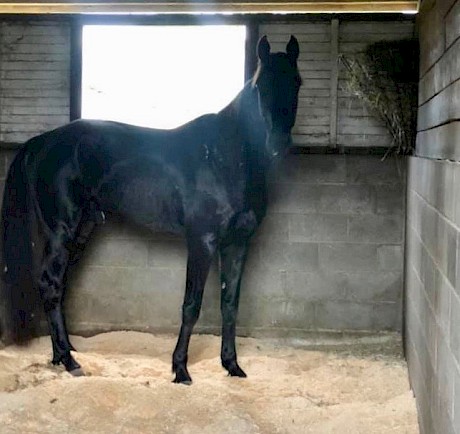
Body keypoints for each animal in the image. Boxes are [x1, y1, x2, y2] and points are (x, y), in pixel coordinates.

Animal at [0, 35, 302, 384]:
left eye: (297, 82)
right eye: (261, 86)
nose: (279, 143)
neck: (225, 157)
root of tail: (42, 141)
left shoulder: (237, 243)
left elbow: (230, 304)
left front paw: (232, 366)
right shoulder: (202, 240)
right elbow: (191, 305)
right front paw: (181, 370)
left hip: (81, 230)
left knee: (58, 285)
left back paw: (63, 355)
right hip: (61, 229)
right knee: (49, 283)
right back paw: (69, 361)